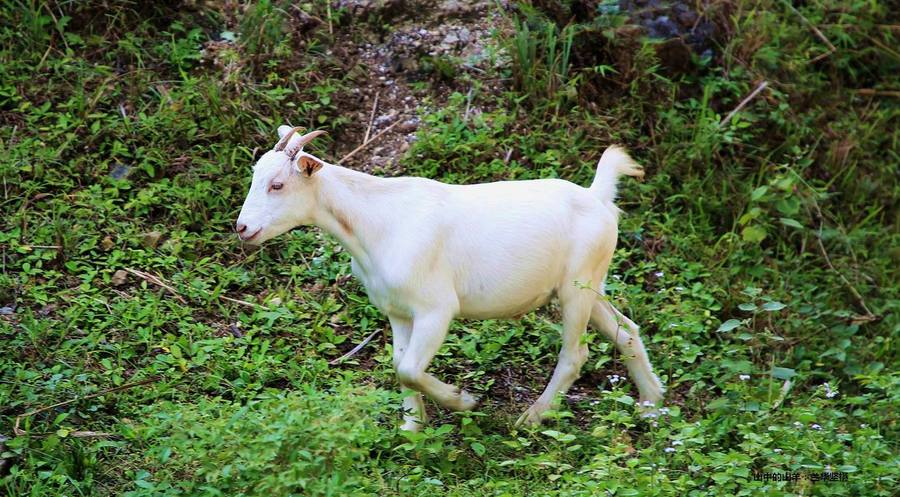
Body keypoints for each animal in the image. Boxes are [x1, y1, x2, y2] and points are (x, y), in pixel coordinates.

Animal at [236, 125, 664, 430]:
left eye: (277, 184)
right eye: (255, 178)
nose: (242, 228)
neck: (378, 223)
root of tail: (598, 198)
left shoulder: (436, 308)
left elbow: (409, 368)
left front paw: (463, 400)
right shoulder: (398, 311)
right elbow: (400, 364)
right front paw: (412, 429)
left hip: (577, 287)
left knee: (575, 354)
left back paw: (532, 418)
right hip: (588, 285)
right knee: (627, 330)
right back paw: (651, 405)